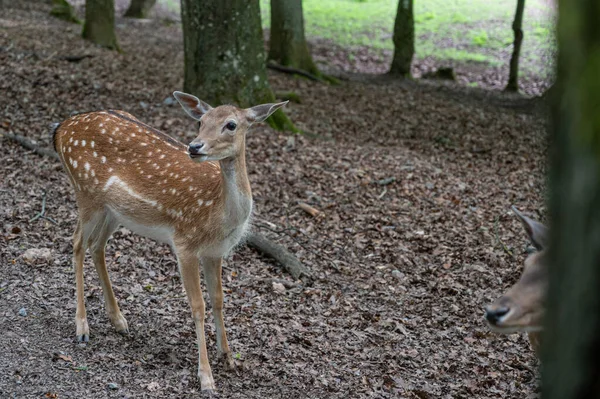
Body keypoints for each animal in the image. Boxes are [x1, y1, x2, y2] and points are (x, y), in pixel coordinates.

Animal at [52, 91, 288, 394]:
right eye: (201, 121)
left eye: (231, 124)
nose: (194, 147)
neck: (220, 216)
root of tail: (61, 129)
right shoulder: (185, 242)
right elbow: (198, 306)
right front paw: (206, 377)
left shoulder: (215, 252)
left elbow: (219, 299)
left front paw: (228, 358)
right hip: (86, 192)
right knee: (77, 243)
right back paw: (82, 327)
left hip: (113, 210)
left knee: (97, 246)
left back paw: (118, 320)